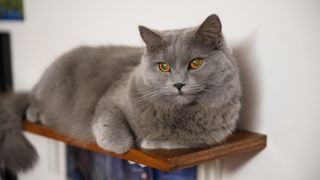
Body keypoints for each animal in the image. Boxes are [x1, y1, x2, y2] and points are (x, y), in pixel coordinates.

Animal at [0, 14, 241, 173]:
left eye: (196, 63)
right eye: (164, 67)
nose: (179, 84)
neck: (175, 112)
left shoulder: (214, 135)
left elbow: (181, 140)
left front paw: (149, 142)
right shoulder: (111, 99)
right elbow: (112, 124)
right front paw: (121, 144)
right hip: (53, 85)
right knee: (32, 99)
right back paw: (39, 114)